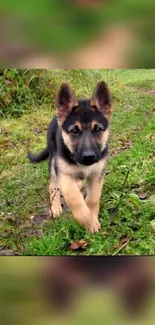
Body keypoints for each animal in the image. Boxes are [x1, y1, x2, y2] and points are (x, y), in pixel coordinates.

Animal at [28, 81, 112, 233]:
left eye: (97, 129)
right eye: (74, 131)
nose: (88, 157)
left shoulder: (97, 174)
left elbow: (93, 198)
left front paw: (93, 216)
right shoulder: (64, 174)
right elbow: (75, 199)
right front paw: (88, 222)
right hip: (53, 160)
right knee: (53, 185)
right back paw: (55, 206)